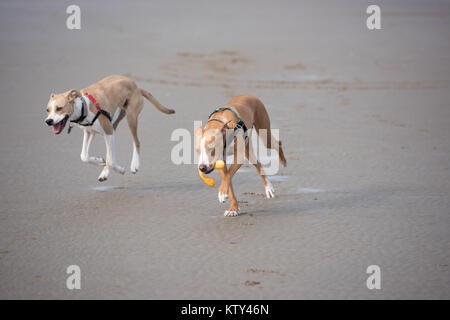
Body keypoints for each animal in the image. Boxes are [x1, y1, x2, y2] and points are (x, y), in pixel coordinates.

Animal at [44, 73, 174, 181]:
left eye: (59, 108)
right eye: (47, 110)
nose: (48, 121)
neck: (83, 106)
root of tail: (136, 86)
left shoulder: (107, 132)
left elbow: (110, 161)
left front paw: (121, 170)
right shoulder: (90, 132)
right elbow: (84, 156)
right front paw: (99, 161)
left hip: (130, 118)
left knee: (136, 142)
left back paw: (134, 165)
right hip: (114, 124)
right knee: (109, 151)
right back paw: (104, 172)